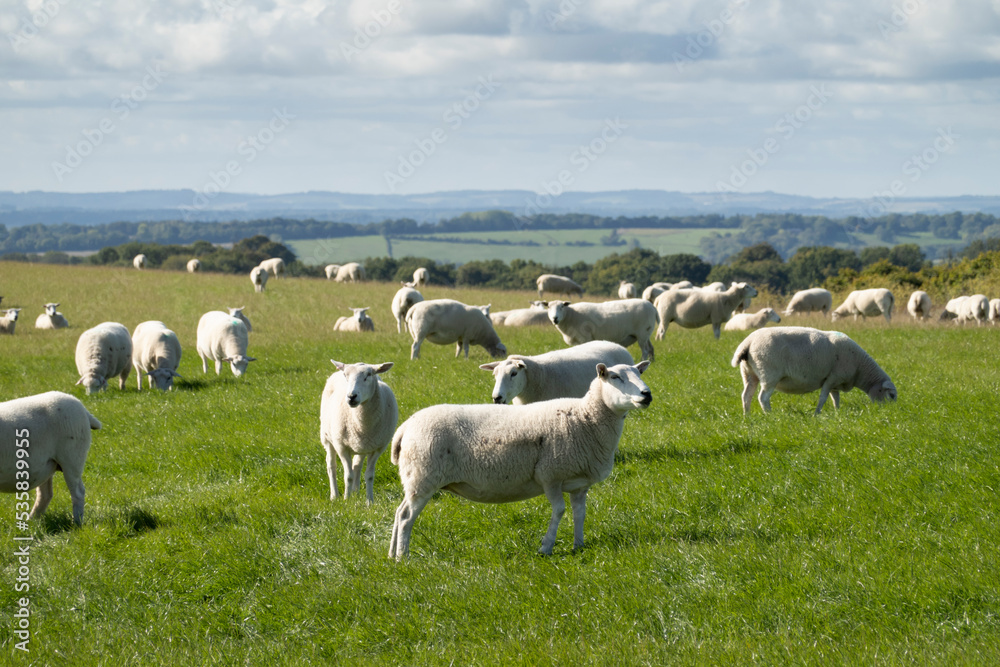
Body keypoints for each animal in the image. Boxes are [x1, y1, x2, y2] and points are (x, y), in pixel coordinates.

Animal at [0, 392, 101, 528]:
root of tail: (80, 405)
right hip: (46, 466)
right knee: (45, 495)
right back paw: (30, 523)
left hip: (72, 457)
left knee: (78, 492)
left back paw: (77, 523)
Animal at [320, 362, 398, 504]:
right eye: (346, 375)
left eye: (369, 375)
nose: (351, 397)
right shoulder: (342, 447)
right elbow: (348, 476)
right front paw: (346, 499)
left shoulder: (378, 448)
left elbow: (369, 475)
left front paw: (369, 501)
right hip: (326, 437)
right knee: (331, 465)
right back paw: (335, 495)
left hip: (362, 445)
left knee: (357, 465)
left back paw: (355, 492)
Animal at [390, 360, 656, 560]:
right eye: (615, 377)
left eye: (639, 373)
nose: (647, 394)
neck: (586, 417)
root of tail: (405, 427)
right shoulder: (550, 475)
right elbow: (559, 510)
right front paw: (546, 547)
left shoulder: (579, 483)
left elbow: (580, 513)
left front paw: (578, 546)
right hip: (423, 476)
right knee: (406, 516)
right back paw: (404, 556)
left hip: (415, 479)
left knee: (399, 511)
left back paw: (392, 554)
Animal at [728, 326, 900, 414]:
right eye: (891, 395)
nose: (891, 412)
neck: (860, 368)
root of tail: (747, 342)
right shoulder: (832, 377)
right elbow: (823, 398)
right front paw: (817, 413)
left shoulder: (834, 382)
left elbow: (835, 398)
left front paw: (837, 412)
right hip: (769, 374)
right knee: (762, 397)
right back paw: (770, 415)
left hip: (749, 373)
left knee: (746, 395)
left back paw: (747, 416)